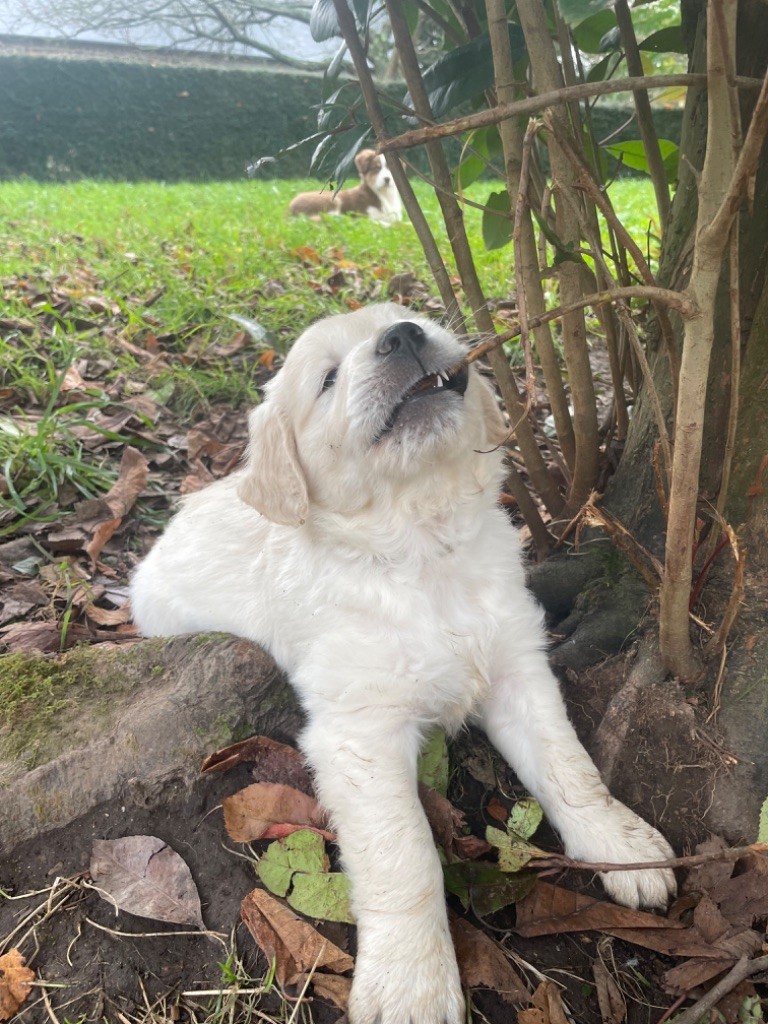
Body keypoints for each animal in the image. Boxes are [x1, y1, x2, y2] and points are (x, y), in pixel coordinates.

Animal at [135, 303, 675, 1024]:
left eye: (406, 317)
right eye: (327, 378)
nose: (403, 337)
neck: (423, 543)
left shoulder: (517, 666)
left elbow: (570, 768)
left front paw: (622, 846)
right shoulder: (359, 732)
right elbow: (404, 856)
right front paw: (412, 985)